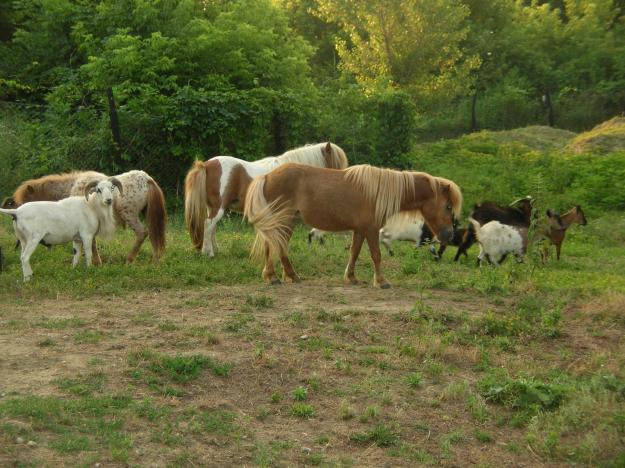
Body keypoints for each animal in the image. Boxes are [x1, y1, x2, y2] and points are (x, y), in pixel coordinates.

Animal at [183, 143, 348, 260]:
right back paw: (208, 253)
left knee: (211, 228)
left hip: (213, 207)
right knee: (209, 224)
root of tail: (207, 165)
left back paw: (215, 250)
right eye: (335, 163)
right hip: (218, 207)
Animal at [244, 164, 464, 288]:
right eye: (448, 205)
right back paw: (290, 276)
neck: (379, 191)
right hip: (284, 221)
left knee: (272, 246)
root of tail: (267, 176)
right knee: (278, 247)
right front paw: (381, 281)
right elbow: (376, 254)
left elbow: (354, 253)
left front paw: (351, 278)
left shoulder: (360, 230)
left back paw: (272, 276)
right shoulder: (371, 229)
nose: (449, 235)